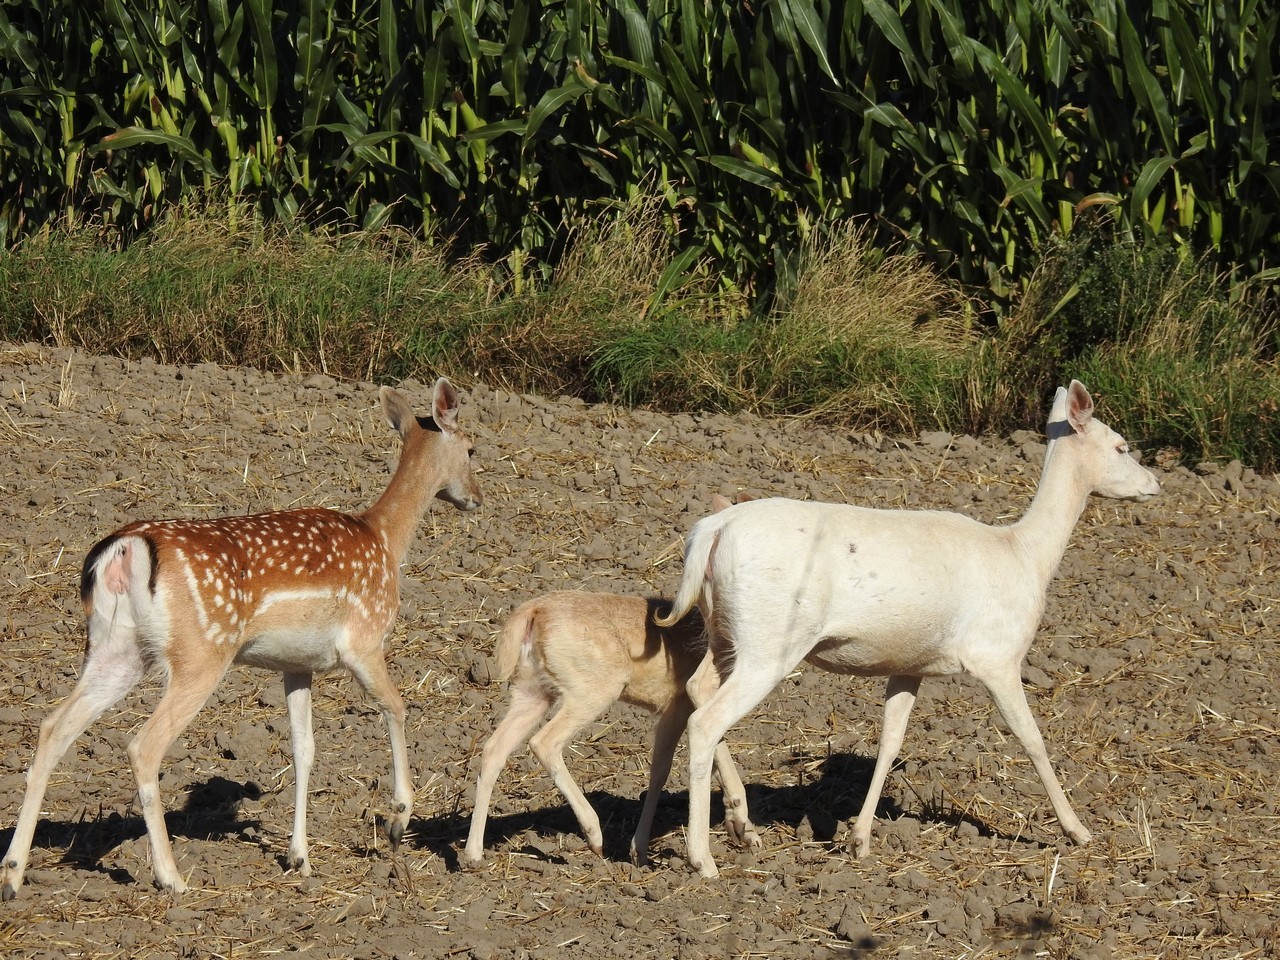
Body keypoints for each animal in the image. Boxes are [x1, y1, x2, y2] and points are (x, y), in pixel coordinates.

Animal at [1, 379, 482, 899]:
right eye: (472, 448)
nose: (477, 497)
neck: (386, 541)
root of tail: (123, 552)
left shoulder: (297, 665)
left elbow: (304, 749)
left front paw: (299, 858)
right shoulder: (363, 641)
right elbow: (396, 706)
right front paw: (397, 820)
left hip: (115, 650)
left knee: (53, 727)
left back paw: (12, 874)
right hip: (200, 652)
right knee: (142, 746)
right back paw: (172, 878)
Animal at [462, 495, 761, 869]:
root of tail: (532, 612)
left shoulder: (673, 708)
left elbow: (660, 768)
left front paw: (640, 850)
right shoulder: (685, 701)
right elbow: (695, 751)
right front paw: (742, 825)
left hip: (532, 692)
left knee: (493, 750)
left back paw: (472, 854)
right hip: (592, 690)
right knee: (545, 742)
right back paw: (594, 834)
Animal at [656, 381, 1161, 878]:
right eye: (1121, 446)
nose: (1155, 484)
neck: (1025, 556)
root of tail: (713, 530)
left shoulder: (909, 663)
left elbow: (890, 740)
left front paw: (859, 839)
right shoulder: (998, 655)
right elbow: (1031, 738)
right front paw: (1079, 831)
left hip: (725, 632)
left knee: (697, 688)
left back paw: (743, 824)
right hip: (769, 643)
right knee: (705, 721)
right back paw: (703, 857)